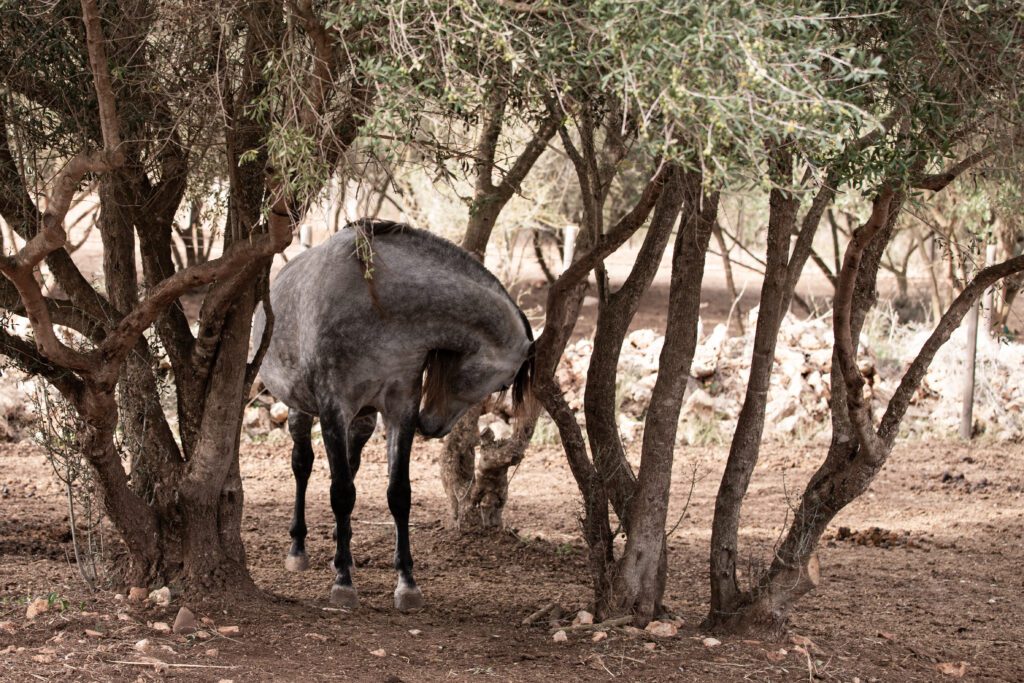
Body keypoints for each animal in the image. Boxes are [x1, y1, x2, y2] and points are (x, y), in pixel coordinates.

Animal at [252, 220, 536, 614]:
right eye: (506, 381)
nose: (431, 424)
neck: (379, 304)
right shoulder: (333, 408)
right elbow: (341, 492)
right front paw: (343, 583)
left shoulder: (400, 409)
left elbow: (398, 493)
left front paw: (406, 583)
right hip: (302, 411)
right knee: (303, 465)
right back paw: (299, 549)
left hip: (365, 419)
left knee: (352, 463)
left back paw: (343, 545)